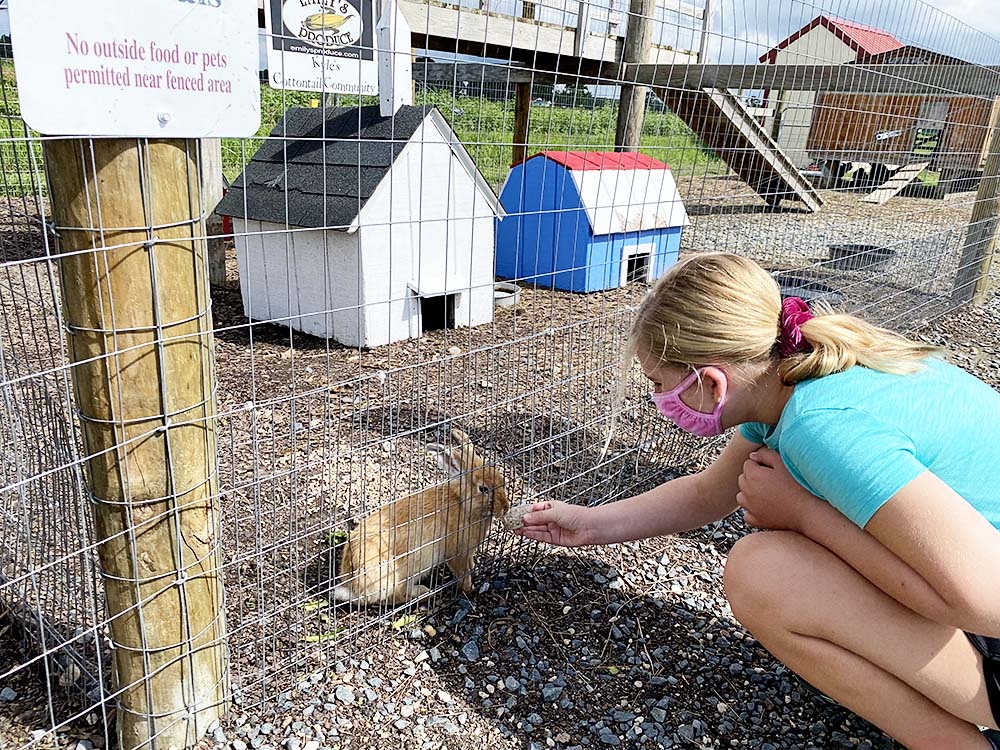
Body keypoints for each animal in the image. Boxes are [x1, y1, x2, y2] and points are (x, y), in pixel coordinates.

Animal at [332, 432, 512, 608]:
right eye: (483, 489)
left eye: (501, 479)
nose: (505, 507)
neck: (464, 504)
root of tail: (353, 586)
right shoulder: (456, 552)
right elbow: (463, 573)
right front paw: (469, 588)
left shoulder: (468, 552)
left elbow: (470, 564)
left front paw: (475, 570)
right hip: (401, 574)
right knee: (394, 597)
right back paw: (424, 593)